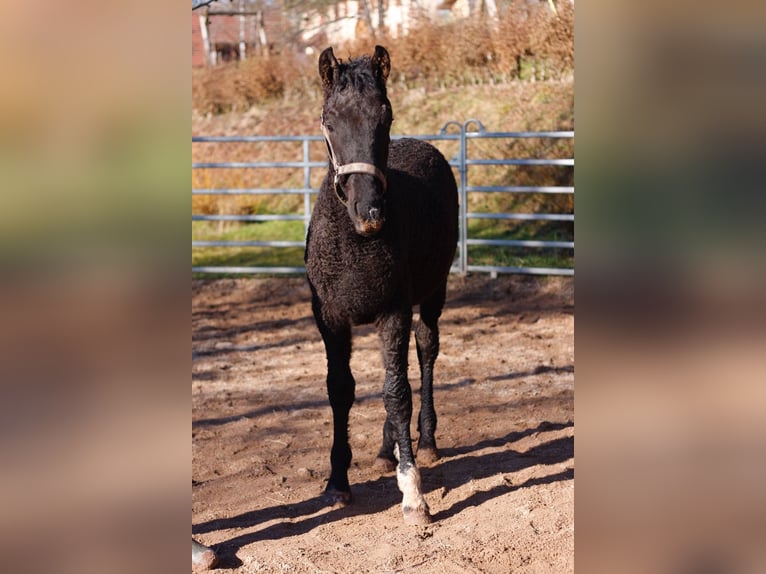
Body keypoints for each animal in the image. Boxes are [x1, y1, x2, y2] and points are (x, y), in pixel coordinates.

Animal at [306, 47, 460, 528]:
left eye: (385, 115)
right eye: (329, 120)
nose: (369, 212)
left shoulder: (393, 312)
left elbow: (398, 392)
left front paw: (413, 494)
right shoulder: (331, 319)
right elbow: (341, 389)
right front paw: (337, 483)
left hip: (432, 293)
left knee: (425, 350)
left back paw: (424, 443)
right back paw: (384, 448)